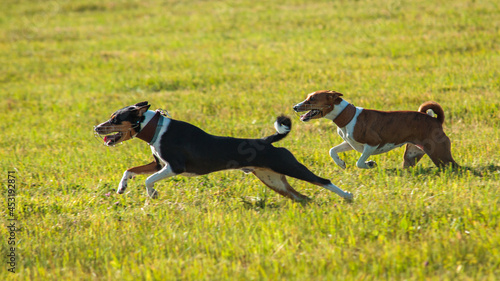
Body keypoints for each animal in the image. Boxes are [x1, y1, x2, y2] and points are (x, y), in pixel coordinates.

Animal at [93, 101, 352, 200]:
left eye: (116, 119)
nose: (96, 128)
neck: (156, 130)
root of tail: (266, 141)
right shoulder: (158, 164)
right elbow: (130, 170)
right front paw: (121, 187)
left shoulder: (175, 167)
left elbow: (149, 180)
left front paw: (152, 194)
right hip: (271, 178)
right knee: (302, 197)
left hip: (289, 166)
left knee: (324, 181)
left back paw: (348, 197)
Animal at [294, 90, 458, 168]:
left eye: (312, 99)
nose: (295, 107)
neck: (348, 116)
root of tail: (436, 120)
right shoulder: (350, 143)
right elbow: (332, 151)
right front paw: (340, 163)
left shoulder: (373, 143)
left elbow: (359, 163)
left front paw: (370, 164)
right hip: (411, 156)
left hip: (440, 155)